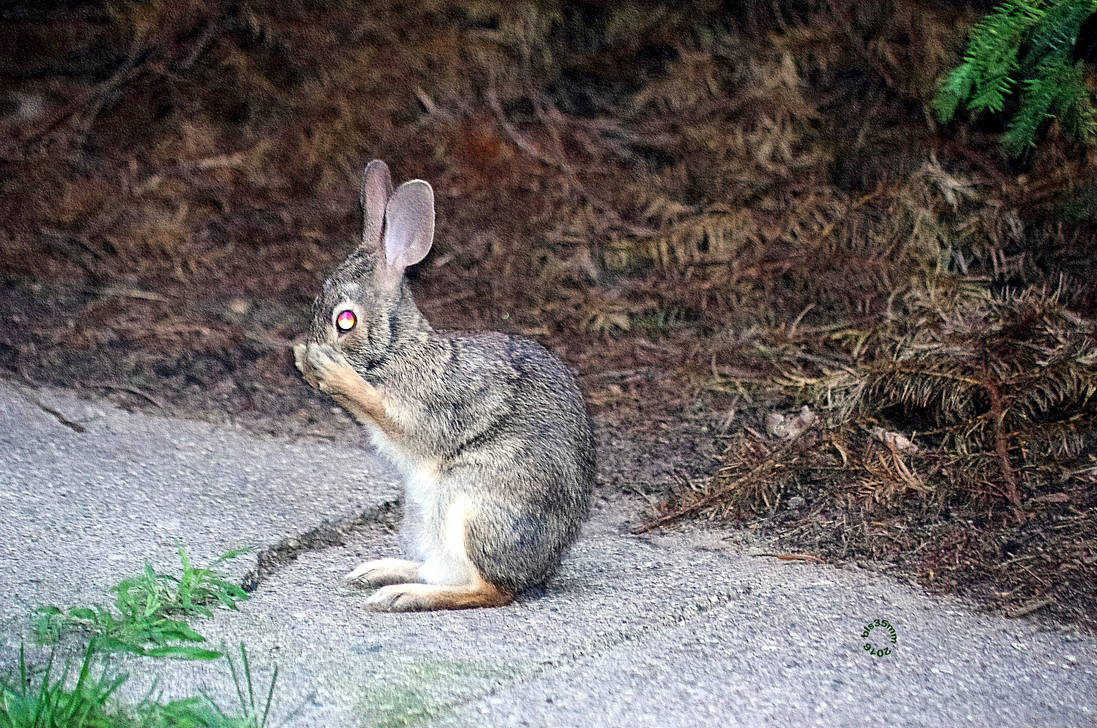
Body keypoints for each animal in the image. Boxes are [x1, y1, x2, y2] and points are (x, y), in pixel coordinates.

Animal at [293, 160, 595, 612]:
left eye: (345, 321)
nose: (310, 353)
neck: (398, 348)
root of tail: (540, 572)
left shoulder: (427, 407)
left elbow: (386, 411)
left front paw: (329, 369)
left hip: (473, 506)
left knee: (489, 590)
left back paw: (402, 596)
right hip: (426, 520)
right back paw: (379, 573)